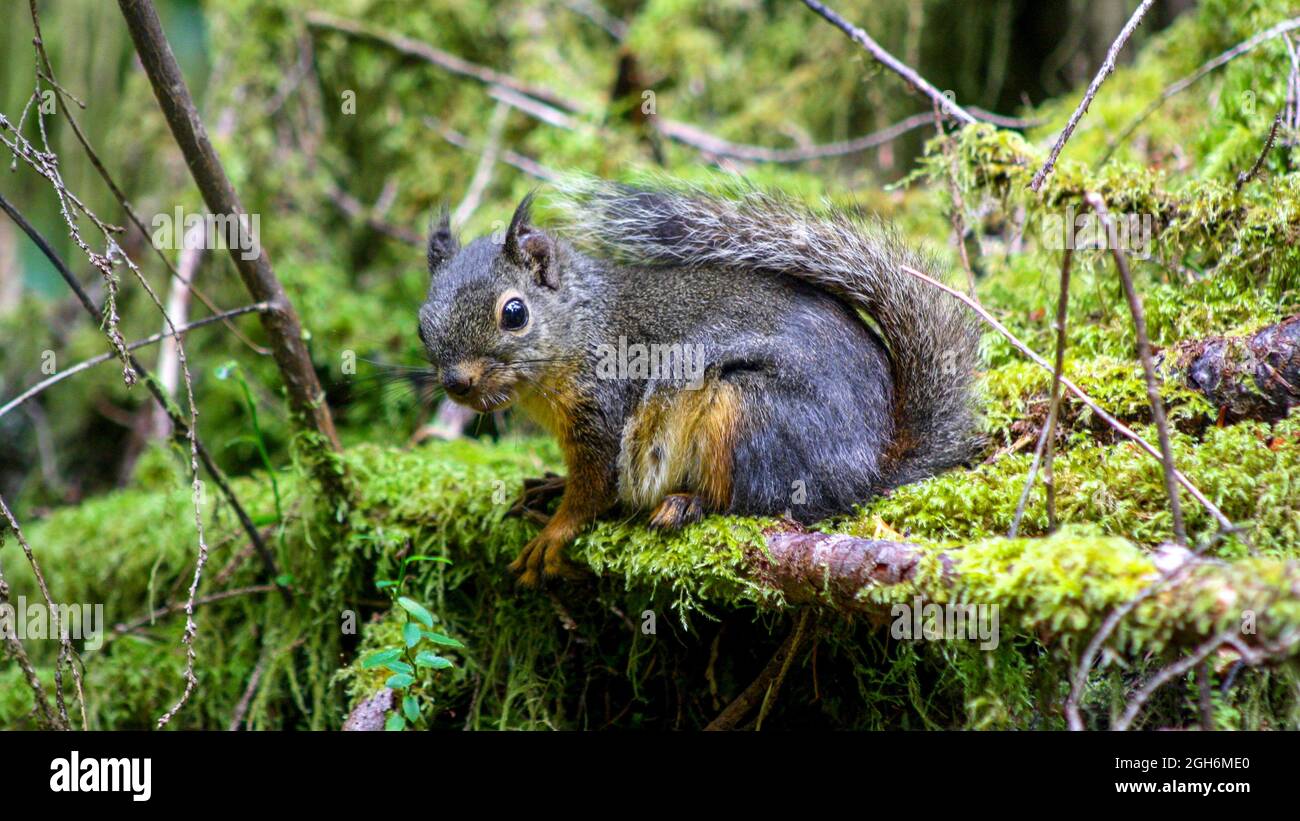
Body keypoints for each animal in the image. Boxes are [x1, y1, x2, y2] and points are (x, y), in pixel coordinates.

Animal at [416, 176, 977, 587]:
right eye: (422, 324)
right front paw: (550, 485)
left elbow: (594, 488)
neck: (583, 324)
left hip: (747, 413)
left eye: (514, 313)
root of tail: (873, 464)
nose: (458, 383)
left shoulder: (604, 409)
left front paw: (556, 531)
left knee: (770, 502)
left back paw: (690, 503)